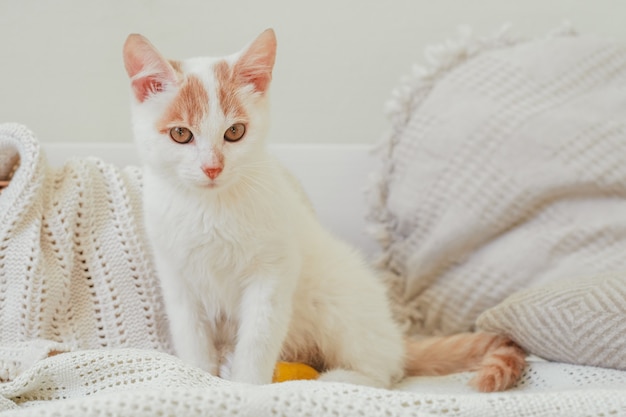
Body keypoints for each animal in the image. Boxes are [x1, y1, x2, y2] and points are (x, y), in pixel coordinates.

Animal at [122, 29, 520, 390]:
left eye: (234, 132)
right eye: (181, 135)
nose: (212, 168)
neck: (211, 206)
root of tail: (395, 334)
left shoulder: (273, 272)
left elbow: (257, 336)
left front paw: (246, 386)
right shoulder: (178, 277)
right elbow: (191, 336)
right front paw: (198, 379)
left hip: (340, 300)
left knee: (385, 371)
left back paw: (342, 378)